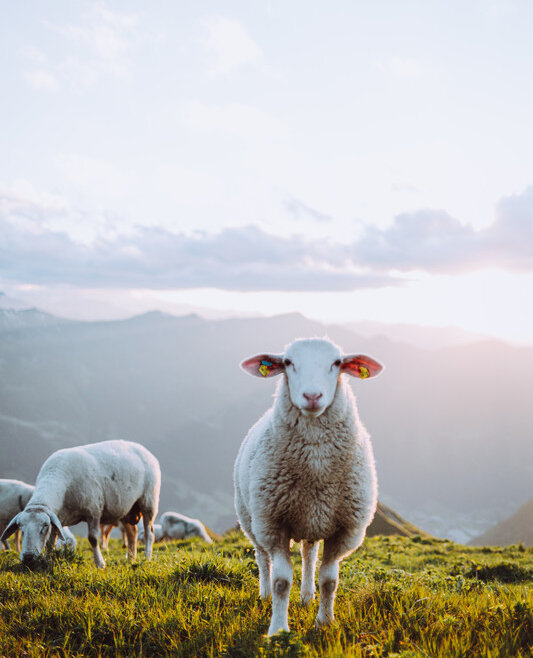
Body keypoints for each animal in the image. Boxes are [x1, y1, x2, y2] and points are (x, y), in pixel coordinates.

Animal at [0, 440, 161, 568]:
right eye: (20, 527)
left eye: (44, 526)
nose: (28, 557)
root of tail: (143, 450)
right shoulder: (57, 517)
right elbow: (51, 543)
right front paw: (48, 560)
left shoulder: (94, 511)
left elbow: (93, 538)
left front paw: (100, 564)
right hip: (127, 507)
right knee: (132, 532)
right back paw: (131, 559)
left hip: (149, 501)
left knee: (149, 532)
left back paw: (146, 557)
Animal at [234, 337, 383, 635]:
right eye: (288, 362)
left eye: (336, 362)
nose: (312, 396)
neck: (316, 467)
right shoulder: (274, 523)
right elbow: (281, 581)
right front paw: (278, 630)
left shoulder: (344, 529)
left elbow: (329, 580)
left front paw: (324, 622)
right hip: (251, 518)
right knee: (262, 558)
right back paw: (264, 594)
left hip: (313, 520)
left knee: (308, 555)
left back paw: (306, 596)